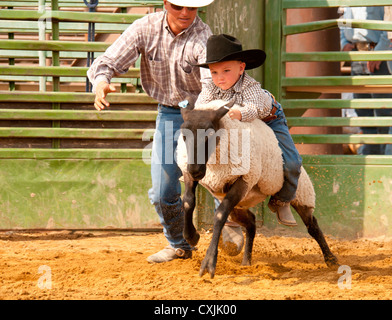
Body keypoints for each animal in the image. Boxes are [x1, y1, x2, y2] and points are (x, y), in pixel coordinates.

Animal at [176, 99, 338, 278]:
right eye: (184, 135)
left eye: (210, 134)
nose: (195, 170)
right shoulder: (191, 173)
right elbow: (188, 202)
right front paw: (191, 236)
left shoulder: (245, 178)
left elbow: (219, 215)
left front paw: (209, 263)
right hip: (238, 207)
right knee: (252, 223)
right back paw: (246, 262)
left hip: (301, 194)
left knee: (312, 225)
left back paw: (331, 259)